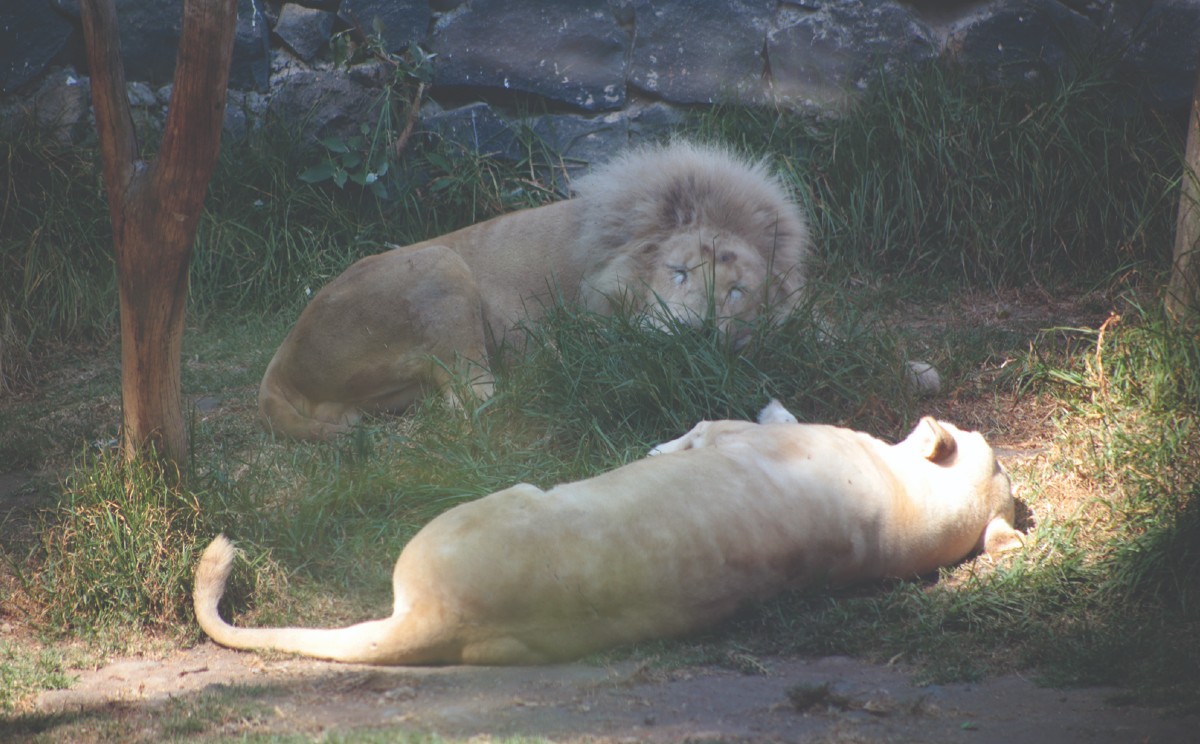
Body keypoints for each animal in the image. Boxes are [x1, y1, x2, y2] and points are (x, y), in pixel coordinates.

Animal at [194, 402, 1022, 665]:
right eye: (999, 454)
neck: (907, 506)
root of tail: (433, 619)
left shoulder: (734, 434)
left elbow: (710, 427)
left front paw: (660, 448)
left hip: (498, 497)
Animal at [258, 141, 810, 439]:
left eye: (737, 292)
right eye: (678, 272)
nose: (690, 334)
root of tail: (280, 362)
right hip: (441, 263)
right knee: (473, 401)